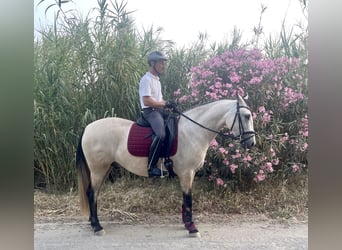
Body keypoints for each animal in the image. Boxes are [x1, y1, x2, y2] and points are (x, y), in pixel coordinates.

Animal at [76, 94, 255, 236]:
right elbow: (188, 199)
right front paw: (192, 228)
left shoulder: (188, 174)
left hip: (104, 169)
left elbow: (185, 199)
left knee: (95, 193)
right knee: (91, 193)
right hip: (98, 169)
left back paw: (93, 223)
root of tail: (87, 128)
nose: (251, 143)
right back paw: (97, 227)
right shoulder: (187, 172)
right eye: (246, 116)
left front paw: (186, 223)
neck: (192, 132)